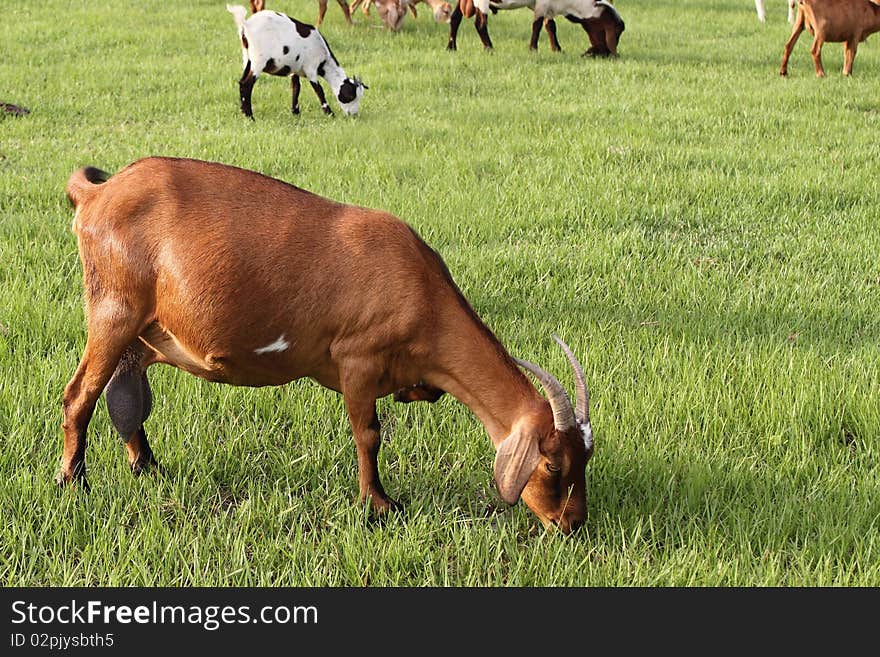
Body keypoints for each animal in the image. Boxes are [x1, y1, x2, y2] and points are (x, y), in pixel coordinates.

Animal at [58, 156, 596, 532]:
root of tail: (97, 193)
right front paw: (379, 504)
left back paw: (147, 467)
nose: (571, 523)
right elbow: (369, 434)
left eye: (585, 460)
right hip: (112, 310)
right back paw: (74, 481)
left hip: (145, 330)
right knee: (80, 394)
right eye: (552, 464)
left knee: (126, 393)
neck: (422, 290)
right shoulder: (357, 358)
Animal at [229, 4, 366, 120]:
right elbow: (319, 90)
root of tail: (246, 25)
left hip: (247, 58)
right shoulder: (311, 68)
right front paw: (330, 113)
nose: (354, 115)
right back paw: (250, 116)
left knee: (241, 82)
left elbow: (296, 88)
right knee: (247, 84)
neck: (324, 59)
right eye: (350, 96)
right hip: (259, 60)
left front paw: (295, 112)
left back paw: (244, 112)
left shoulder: (295, 69)